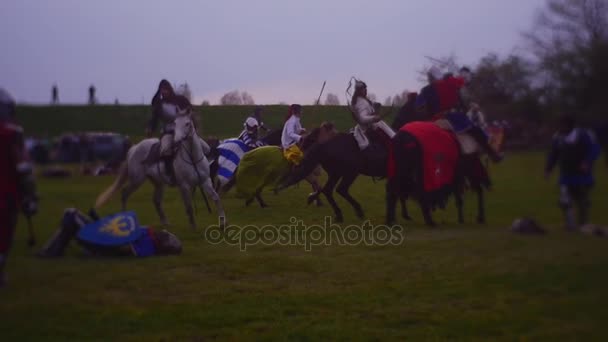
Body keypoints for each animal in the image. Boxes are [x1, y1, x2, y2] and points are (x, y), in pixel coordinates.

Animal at [94, 104, 227, 230]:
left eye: (187, 123)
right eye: (175, 123)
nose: (177, 140)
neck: (192, 158)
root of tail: (134, 148)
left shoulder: (205, 181)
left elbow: (216, 198)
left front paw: (222, 223)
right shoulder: (184, 186)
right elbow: (189, 206)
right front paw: (193, 227)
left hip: (158, 183)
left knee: (156, 200)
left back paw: (165, 222)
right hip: (137, 180)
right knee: (124, 194)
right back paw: (127, 221)